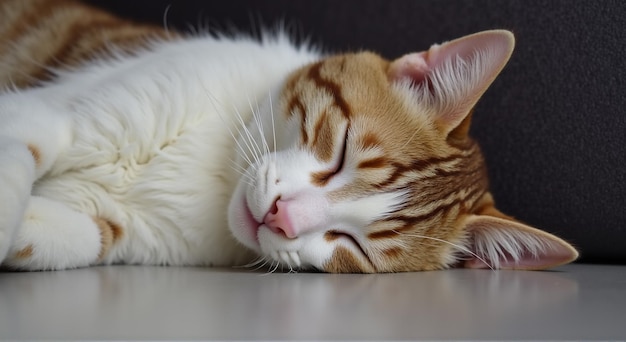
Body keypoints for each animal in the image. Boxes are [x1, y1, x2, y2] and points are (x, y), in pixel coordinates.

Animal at [0, 0, 576, 272]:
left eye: (353, 244)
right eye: (340, 151)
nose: (282, 216)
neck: (216, 172)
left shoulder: (125, 233)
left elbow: (73, 237)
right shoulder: (50, 112)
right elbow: (21, 155)